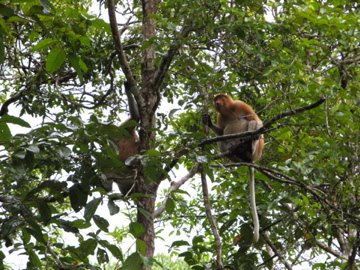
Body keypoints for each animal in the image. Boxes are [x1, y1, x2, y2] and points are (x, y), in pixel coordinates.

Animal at [202, 94, 264, 242]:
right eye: (216, 99)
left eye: (220, 98)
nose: (217, 102)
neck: (228, 110)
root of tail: (250, 160)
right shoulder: (220, 115)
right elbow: (220, 131)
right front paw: (207, 121)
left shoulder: (240, 104)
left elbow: (255, 119)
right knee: (221, 140)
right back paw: (233, 151)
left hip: (256, 150)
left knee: (251, 123)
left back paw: (248, 145)